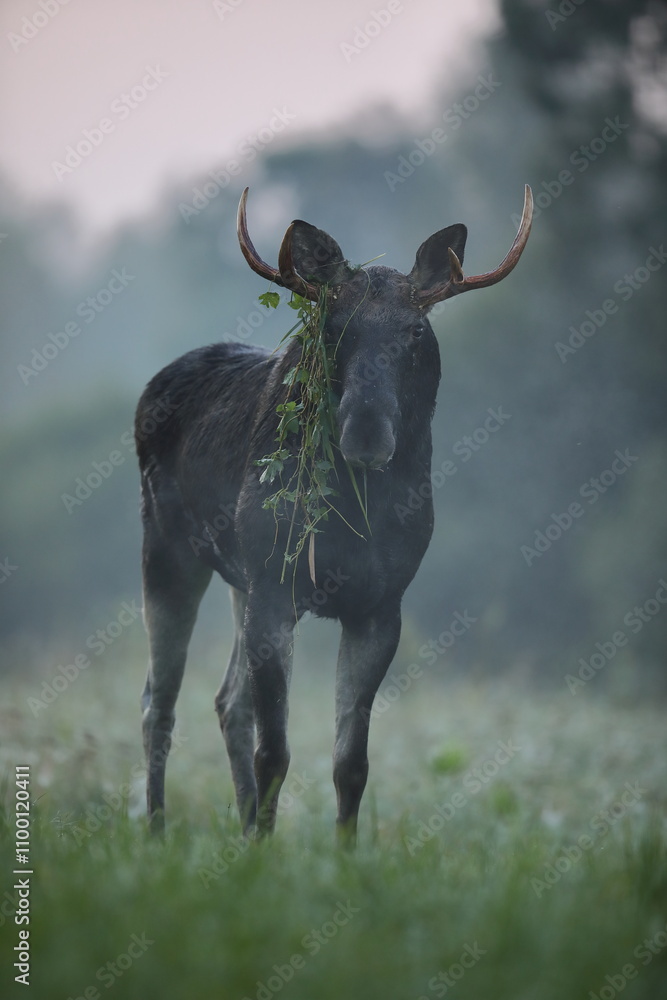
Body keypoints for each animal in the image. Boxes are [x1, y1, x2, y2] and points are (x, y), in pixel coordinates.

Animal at [135, 184, 533, 845]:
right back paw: (158, 834)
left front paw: (342, 855)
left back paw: (236, 826)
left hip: (239, 579)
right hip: (167, 550)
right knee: (158, 702)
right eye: (333, 325)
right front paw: (265, 857)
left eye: (415, 330)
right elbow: (276, 752)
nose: (366, 433)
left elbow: (352, 762)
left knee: (226, 701)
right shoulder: (277, 588)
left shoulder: (380, 606)